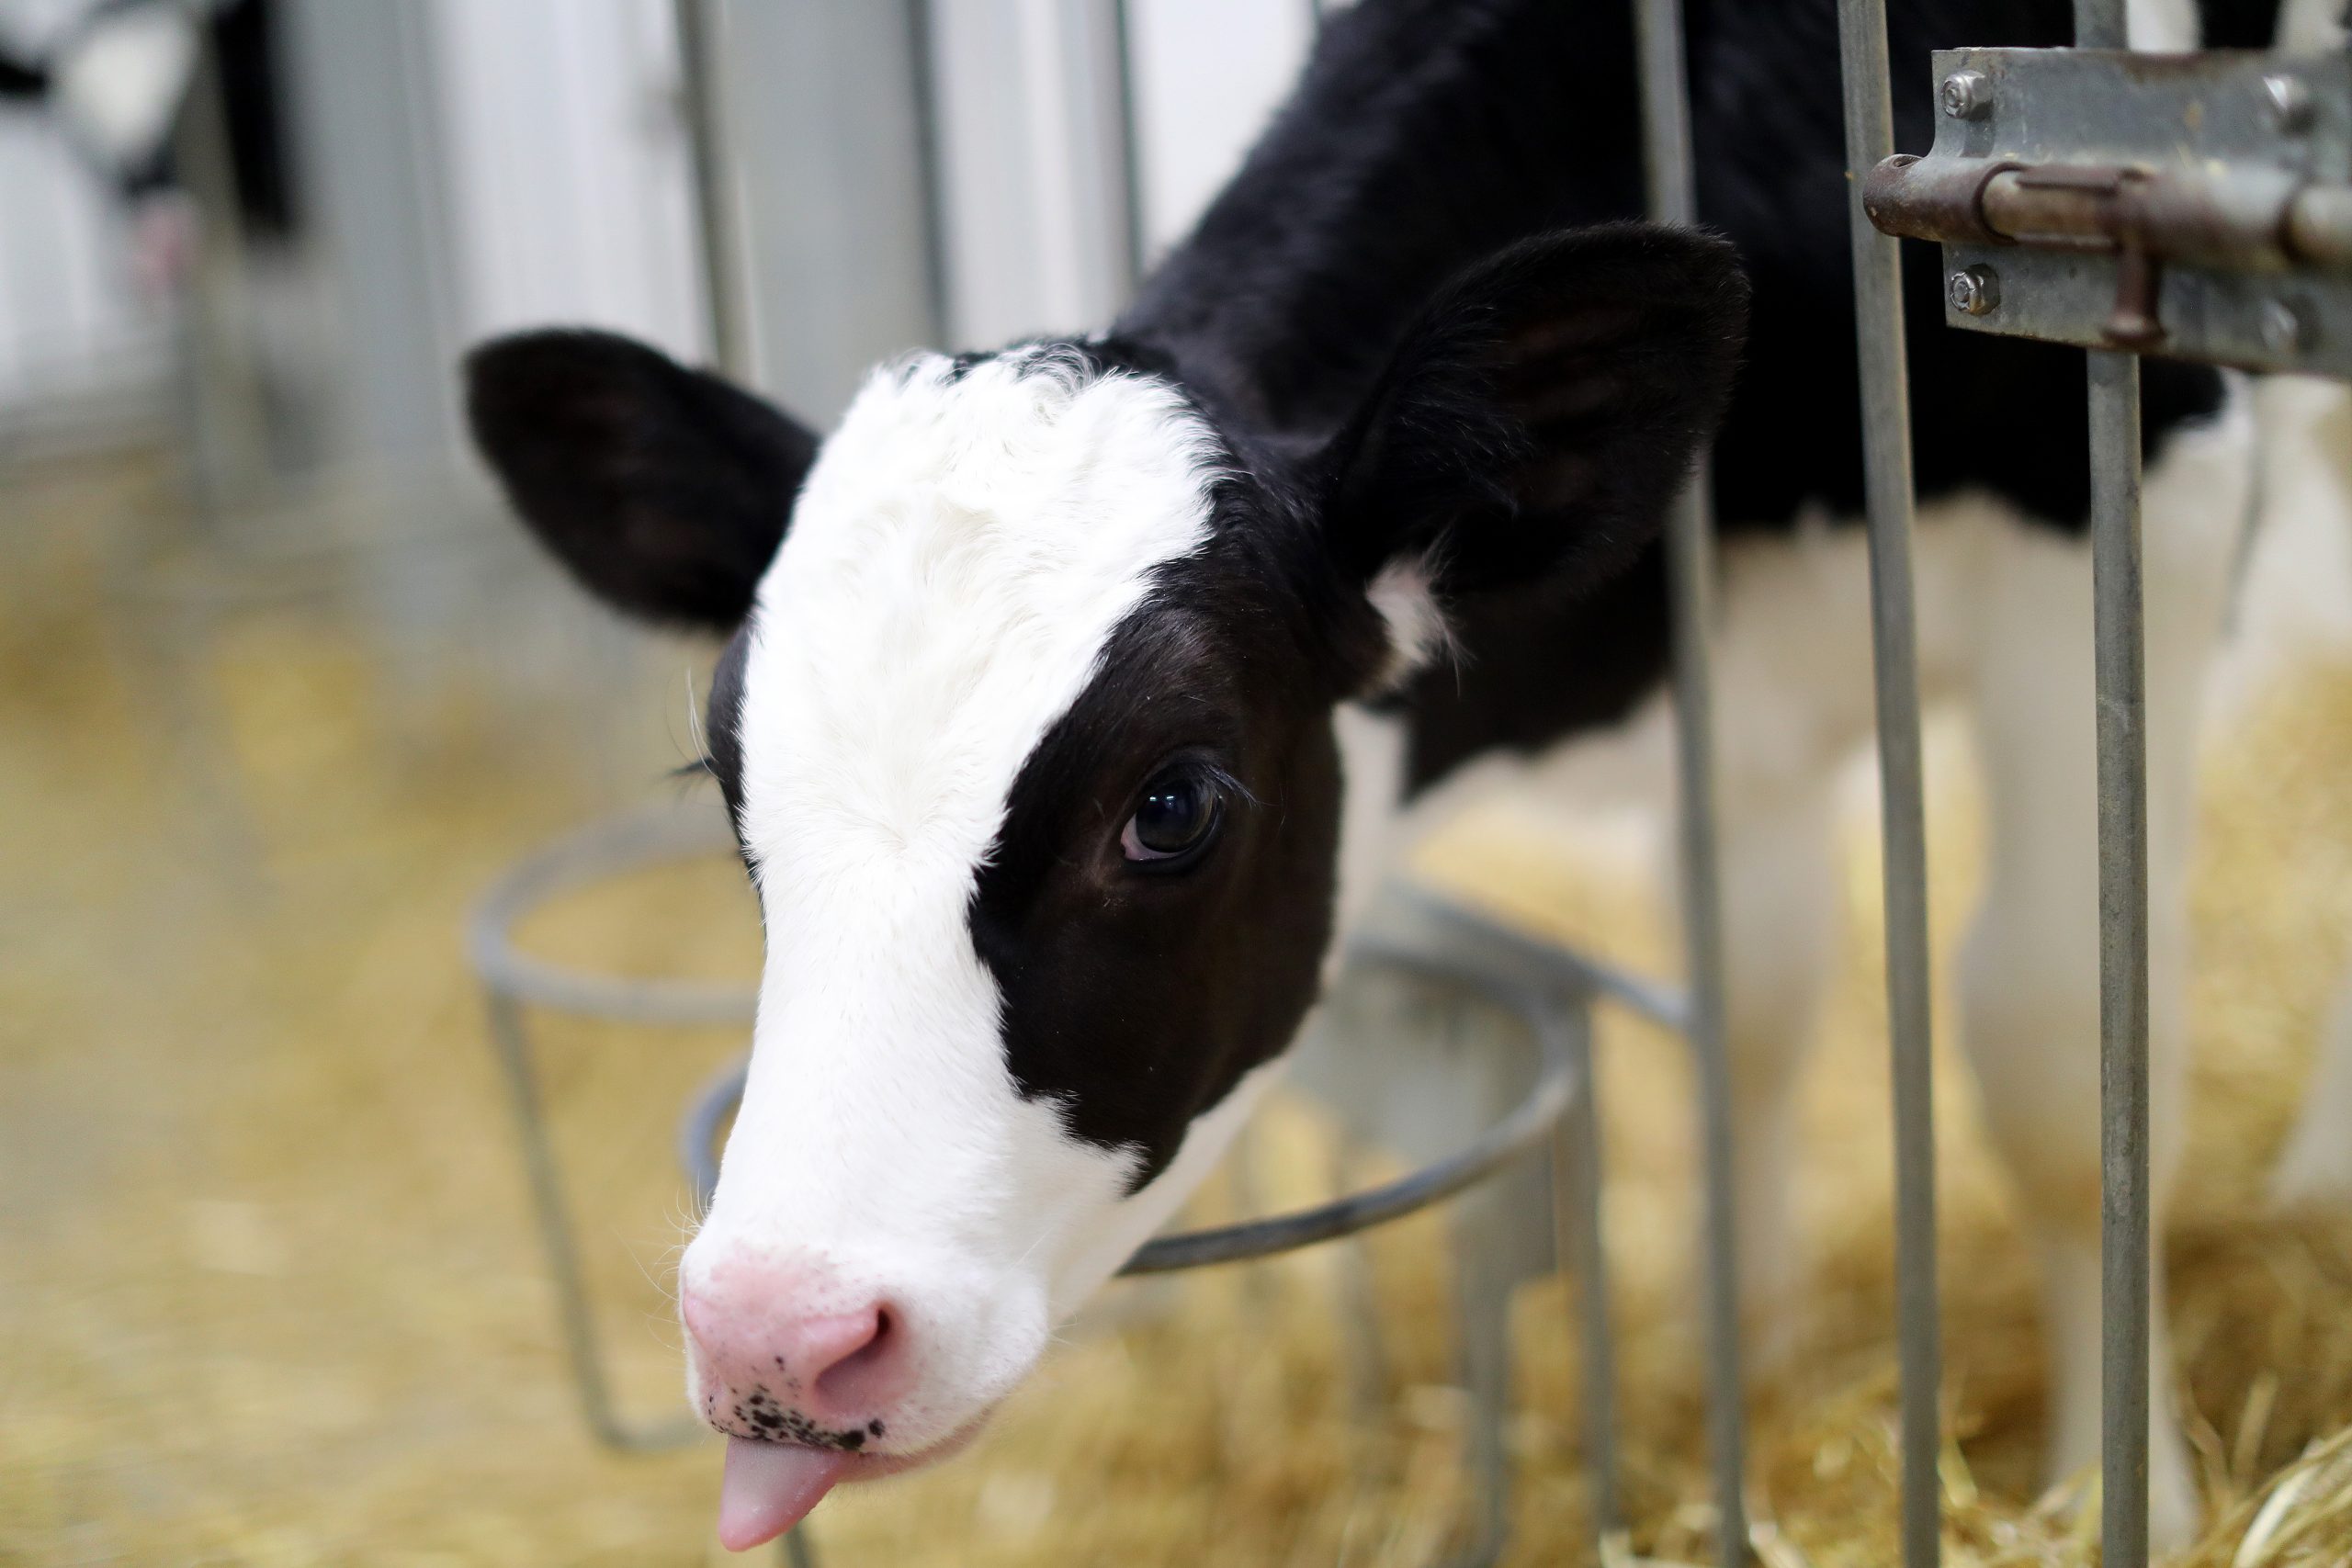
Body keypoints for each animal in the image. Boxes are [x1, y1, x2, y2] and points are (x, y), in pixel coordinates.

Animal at [458, 0, 2352, 1551]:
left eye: (1172, 805)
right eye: (730, 782)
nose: (775, 1333)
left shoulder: (2129, 508)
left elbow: (2056, 1049)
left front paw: (2119, 1493)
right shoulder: (1728, 677)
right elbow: (1755, 1003)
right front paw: (1747, 1360)